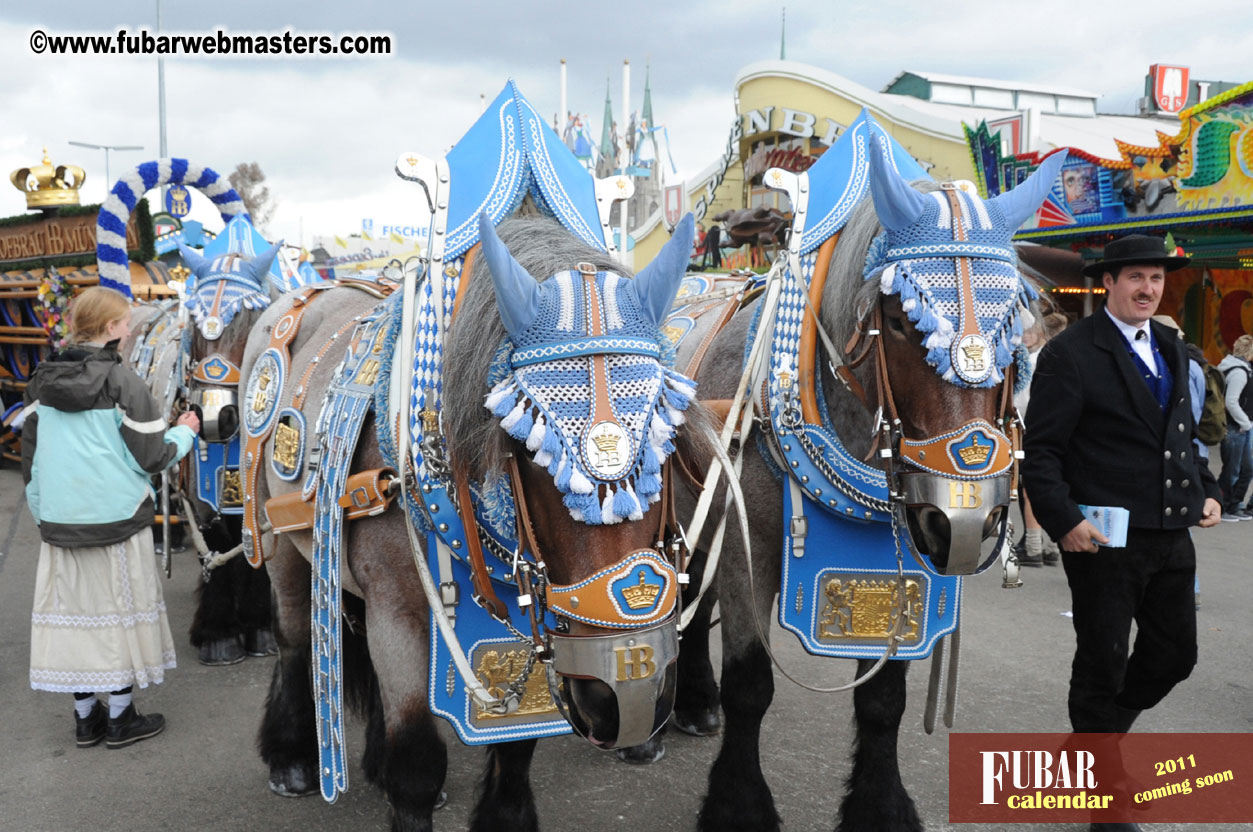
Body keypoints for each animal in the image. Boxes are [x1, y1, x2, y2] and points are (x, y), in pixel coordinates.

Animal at [249, 215, 711, 832]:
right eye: (531, 452)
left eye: (667, 438)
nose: (625, 687)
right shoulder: (399, 615)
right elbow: (417, 763)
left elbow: (516, 744)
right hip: (280, 544)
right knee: (294, 637)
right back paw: (292, 758)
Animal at [666, 125, 1067, 832]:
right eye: (905, 321)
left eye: (1011, 331)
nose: (963, 519)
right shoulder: (748, 550)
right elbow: (750, 686)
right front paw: (738, 805)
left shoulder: (903, 566)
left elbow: (884, 697)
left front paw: (880, 805)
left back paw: (694, 702)